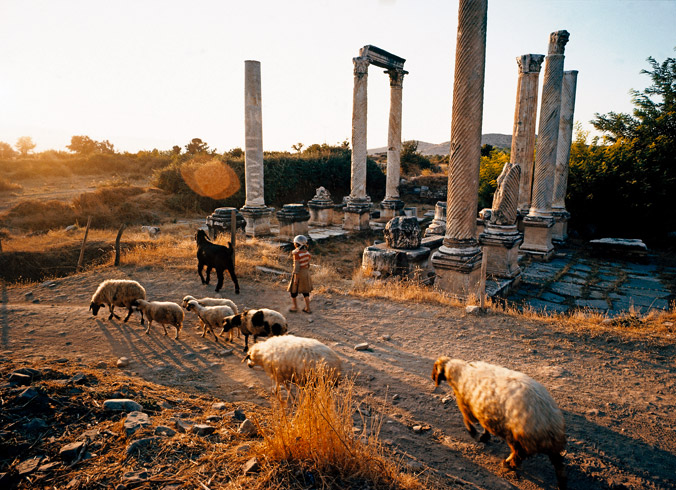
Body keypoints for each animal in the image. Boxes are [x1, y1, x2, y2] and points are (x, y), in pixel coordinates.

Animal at [430, 358, 568, 488]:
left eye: (435, 368)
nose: (432, 377)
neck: (460, 372)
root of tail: (550, 423)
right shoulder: (483, 410)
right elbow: (484, 426)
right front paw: (484, 437)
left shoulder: (467, 406)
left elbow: (467, 421)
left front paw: (475, 434)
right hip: (547, 447)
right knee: (559, 466)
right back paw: (561, 484)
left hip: (517, 437)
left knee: (518, 455)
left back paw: (507, 464)